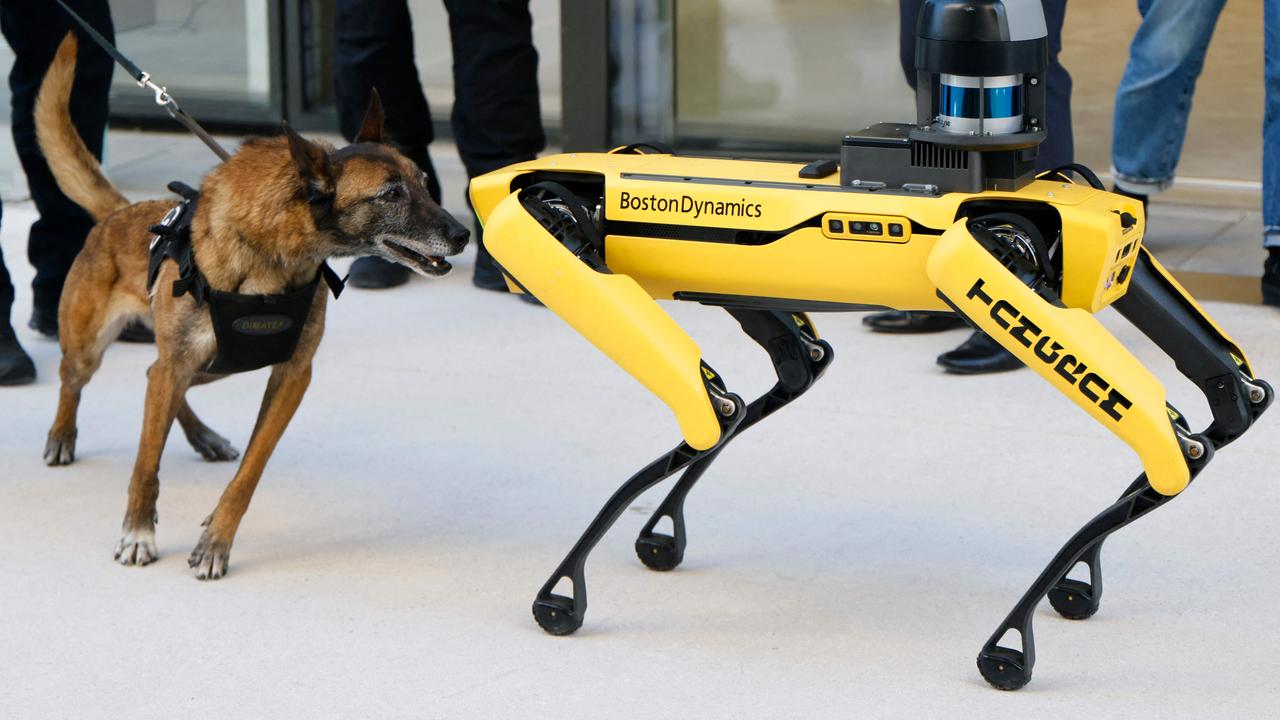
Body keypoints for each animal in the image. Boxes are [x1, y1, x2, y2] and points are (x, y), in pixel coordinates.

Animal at [37, 36, 473, 579]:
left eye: (424, 183)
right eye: (391, 194)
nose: (463, 234)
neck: (271, 257)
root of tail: (121, 213)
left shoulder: (292, 376)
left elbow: (250, 471)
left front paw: (216, 540)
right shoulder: (183, 365)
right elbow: (145, 465)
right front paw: (138, 532)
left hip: (210, 367)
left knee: (156, 380)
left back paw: (203, 437)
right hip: (94, 349)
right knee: (78, 380)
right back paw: (62, 435)